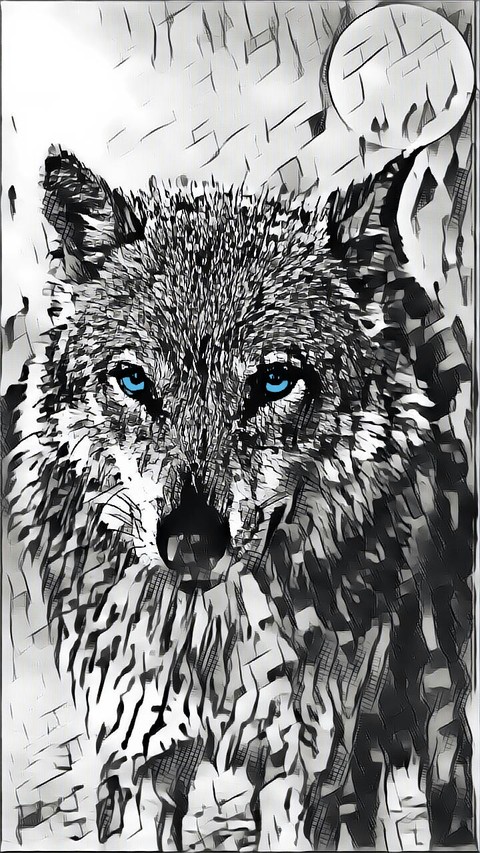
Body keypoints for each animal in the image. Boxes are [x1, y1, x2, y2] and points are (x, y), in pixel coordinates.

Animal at [5, 145, 474, 851]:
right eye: (134, 381)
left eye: (276, 381)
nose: (192, 542)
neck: (209, 639)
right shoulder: (137, 758)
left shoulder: (308, 766)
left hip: (437, 713)